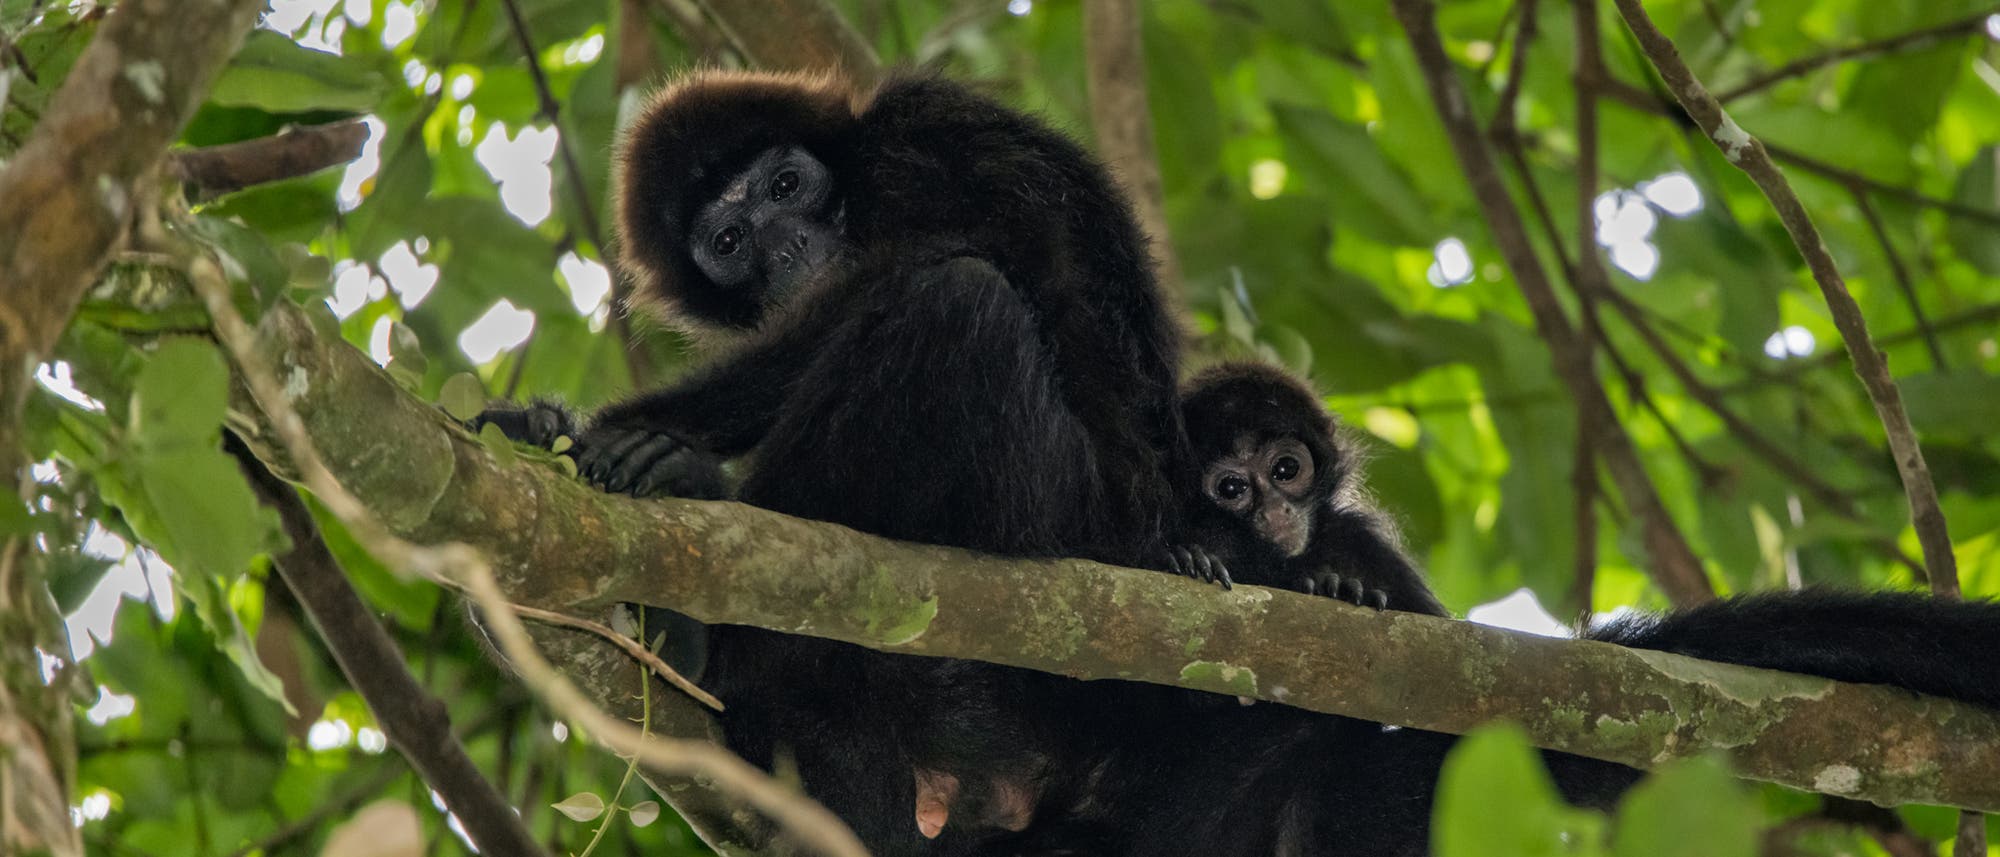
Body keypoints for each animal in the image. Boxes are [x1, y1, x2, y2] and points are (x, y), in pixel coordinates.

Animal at [473, 69, 1187, 855]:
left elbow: (916, 264)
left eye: (786, 186)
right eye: (730, 240)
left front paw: (613, 438)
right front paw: (545, 428)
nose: (788, 246)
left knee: (962, 298)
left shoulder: (928, 135)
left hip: (1054, 505)